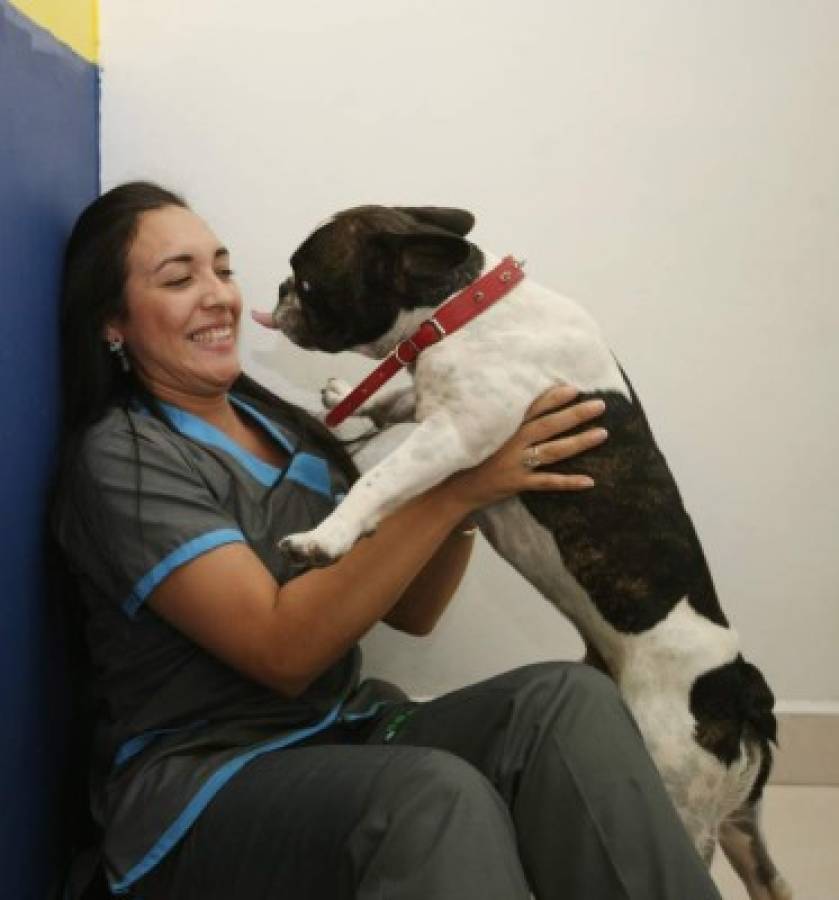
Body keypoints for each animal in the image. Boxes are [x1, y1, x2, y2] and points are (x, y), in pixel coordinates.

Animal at [256, 206, 796, 900]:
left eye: (307, 278)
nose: (279, 292)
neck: (463, 304)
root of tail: (740, 687)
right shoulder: (436, 407)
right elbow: (397, 401)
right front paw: (351, 405)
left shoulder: (454, 433)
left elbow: (382, 476)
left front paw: (326, 536)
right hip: (739, 822)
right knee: (770, 878)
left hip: (678, 792)